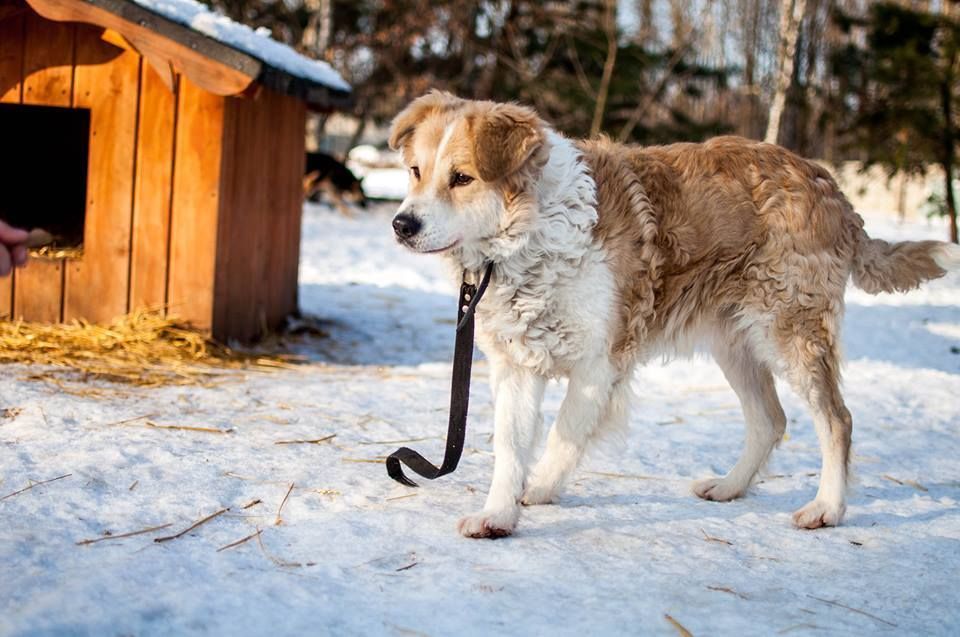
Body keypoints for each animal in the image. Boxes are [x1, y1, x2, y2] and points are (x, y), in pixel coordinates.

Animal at [386, 89, 956, 536]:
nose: (402, 224)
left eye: (462, 178)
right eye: (415, 172)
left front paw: (541, 488)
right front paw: (499, 516)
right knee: (770, 421)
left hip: (791, 333)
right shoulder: (517, 364)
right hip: (735, 345)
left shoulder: (600, 364)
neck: (532, 235)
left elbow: (563, 435)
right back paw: (729, 487)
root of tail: (825, 180)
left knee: (837, 420)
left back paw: (827, 509)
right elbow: (510, 446)